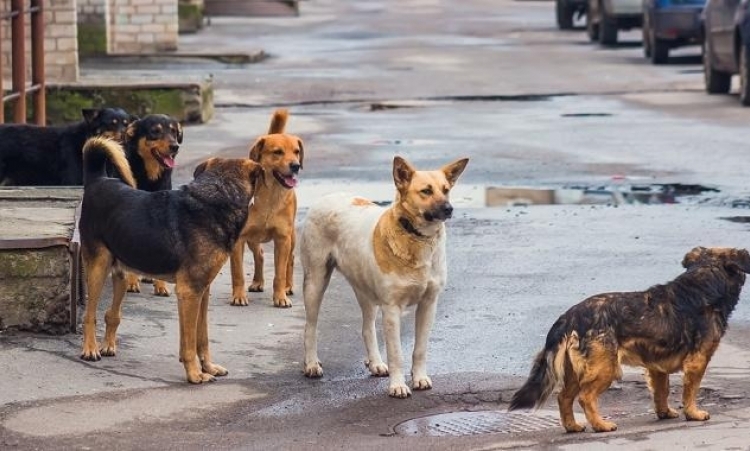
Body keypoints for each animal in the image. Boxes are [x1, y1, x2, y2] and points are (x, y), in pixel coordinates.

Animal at [79, 137, 262, 384]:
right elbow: (189, 342)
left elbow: (202, 337)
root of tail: (98, 180)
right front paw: (194, 374)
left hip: (121, 273)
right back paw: (90, 349)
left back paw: (108, 345)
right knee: (89, 315)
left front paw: (208, 367)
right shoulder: (189, 292)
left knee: (112, 313)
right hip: (98, 267)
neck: (217, 197)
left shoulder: (202, 291)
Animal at [229, 108, 302, 308]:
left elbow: (279, 273)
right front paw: (238, 296)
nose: (296, 166)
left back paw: (288, 286)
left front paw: (280, 297)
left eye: (296, 151)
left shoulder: (282, 239)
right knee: (259, 255)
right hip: (252, 238)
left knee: (290, 260)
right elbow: (237, 273)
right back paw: (257, 282)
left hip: (291, 237)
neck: (270, 196)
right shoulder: (238, 239)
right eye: (277, 152)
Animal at [302, 155, 468, 400]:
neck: (416, 237)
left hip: (365, 291)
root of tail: (327, 196)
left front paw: (419, 378)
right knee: (310, 327)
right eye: (426, 191)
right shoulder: (391, 309)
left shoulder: (429, 304)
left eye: (446, 190)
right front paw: (398, 386)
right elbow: (396, 352)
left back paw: (376, 363)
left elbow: (420, 349)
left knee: (367, 327)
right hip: (315, 282)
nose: (449, 209)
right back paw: (311, 364)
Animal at [512, 247, 750, 434]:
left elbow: (661, 392)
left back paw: (573, 426)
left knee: (564, 398)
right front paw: (693, 413)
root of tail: (569, 317)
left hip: (575, 371)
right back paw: (601, 425)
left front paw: (664, 413)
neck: (704, 281)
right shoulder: (697, 361)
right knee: (585, 397)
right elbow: (690, 391)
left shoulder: (657, 366)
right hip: (605, 368)